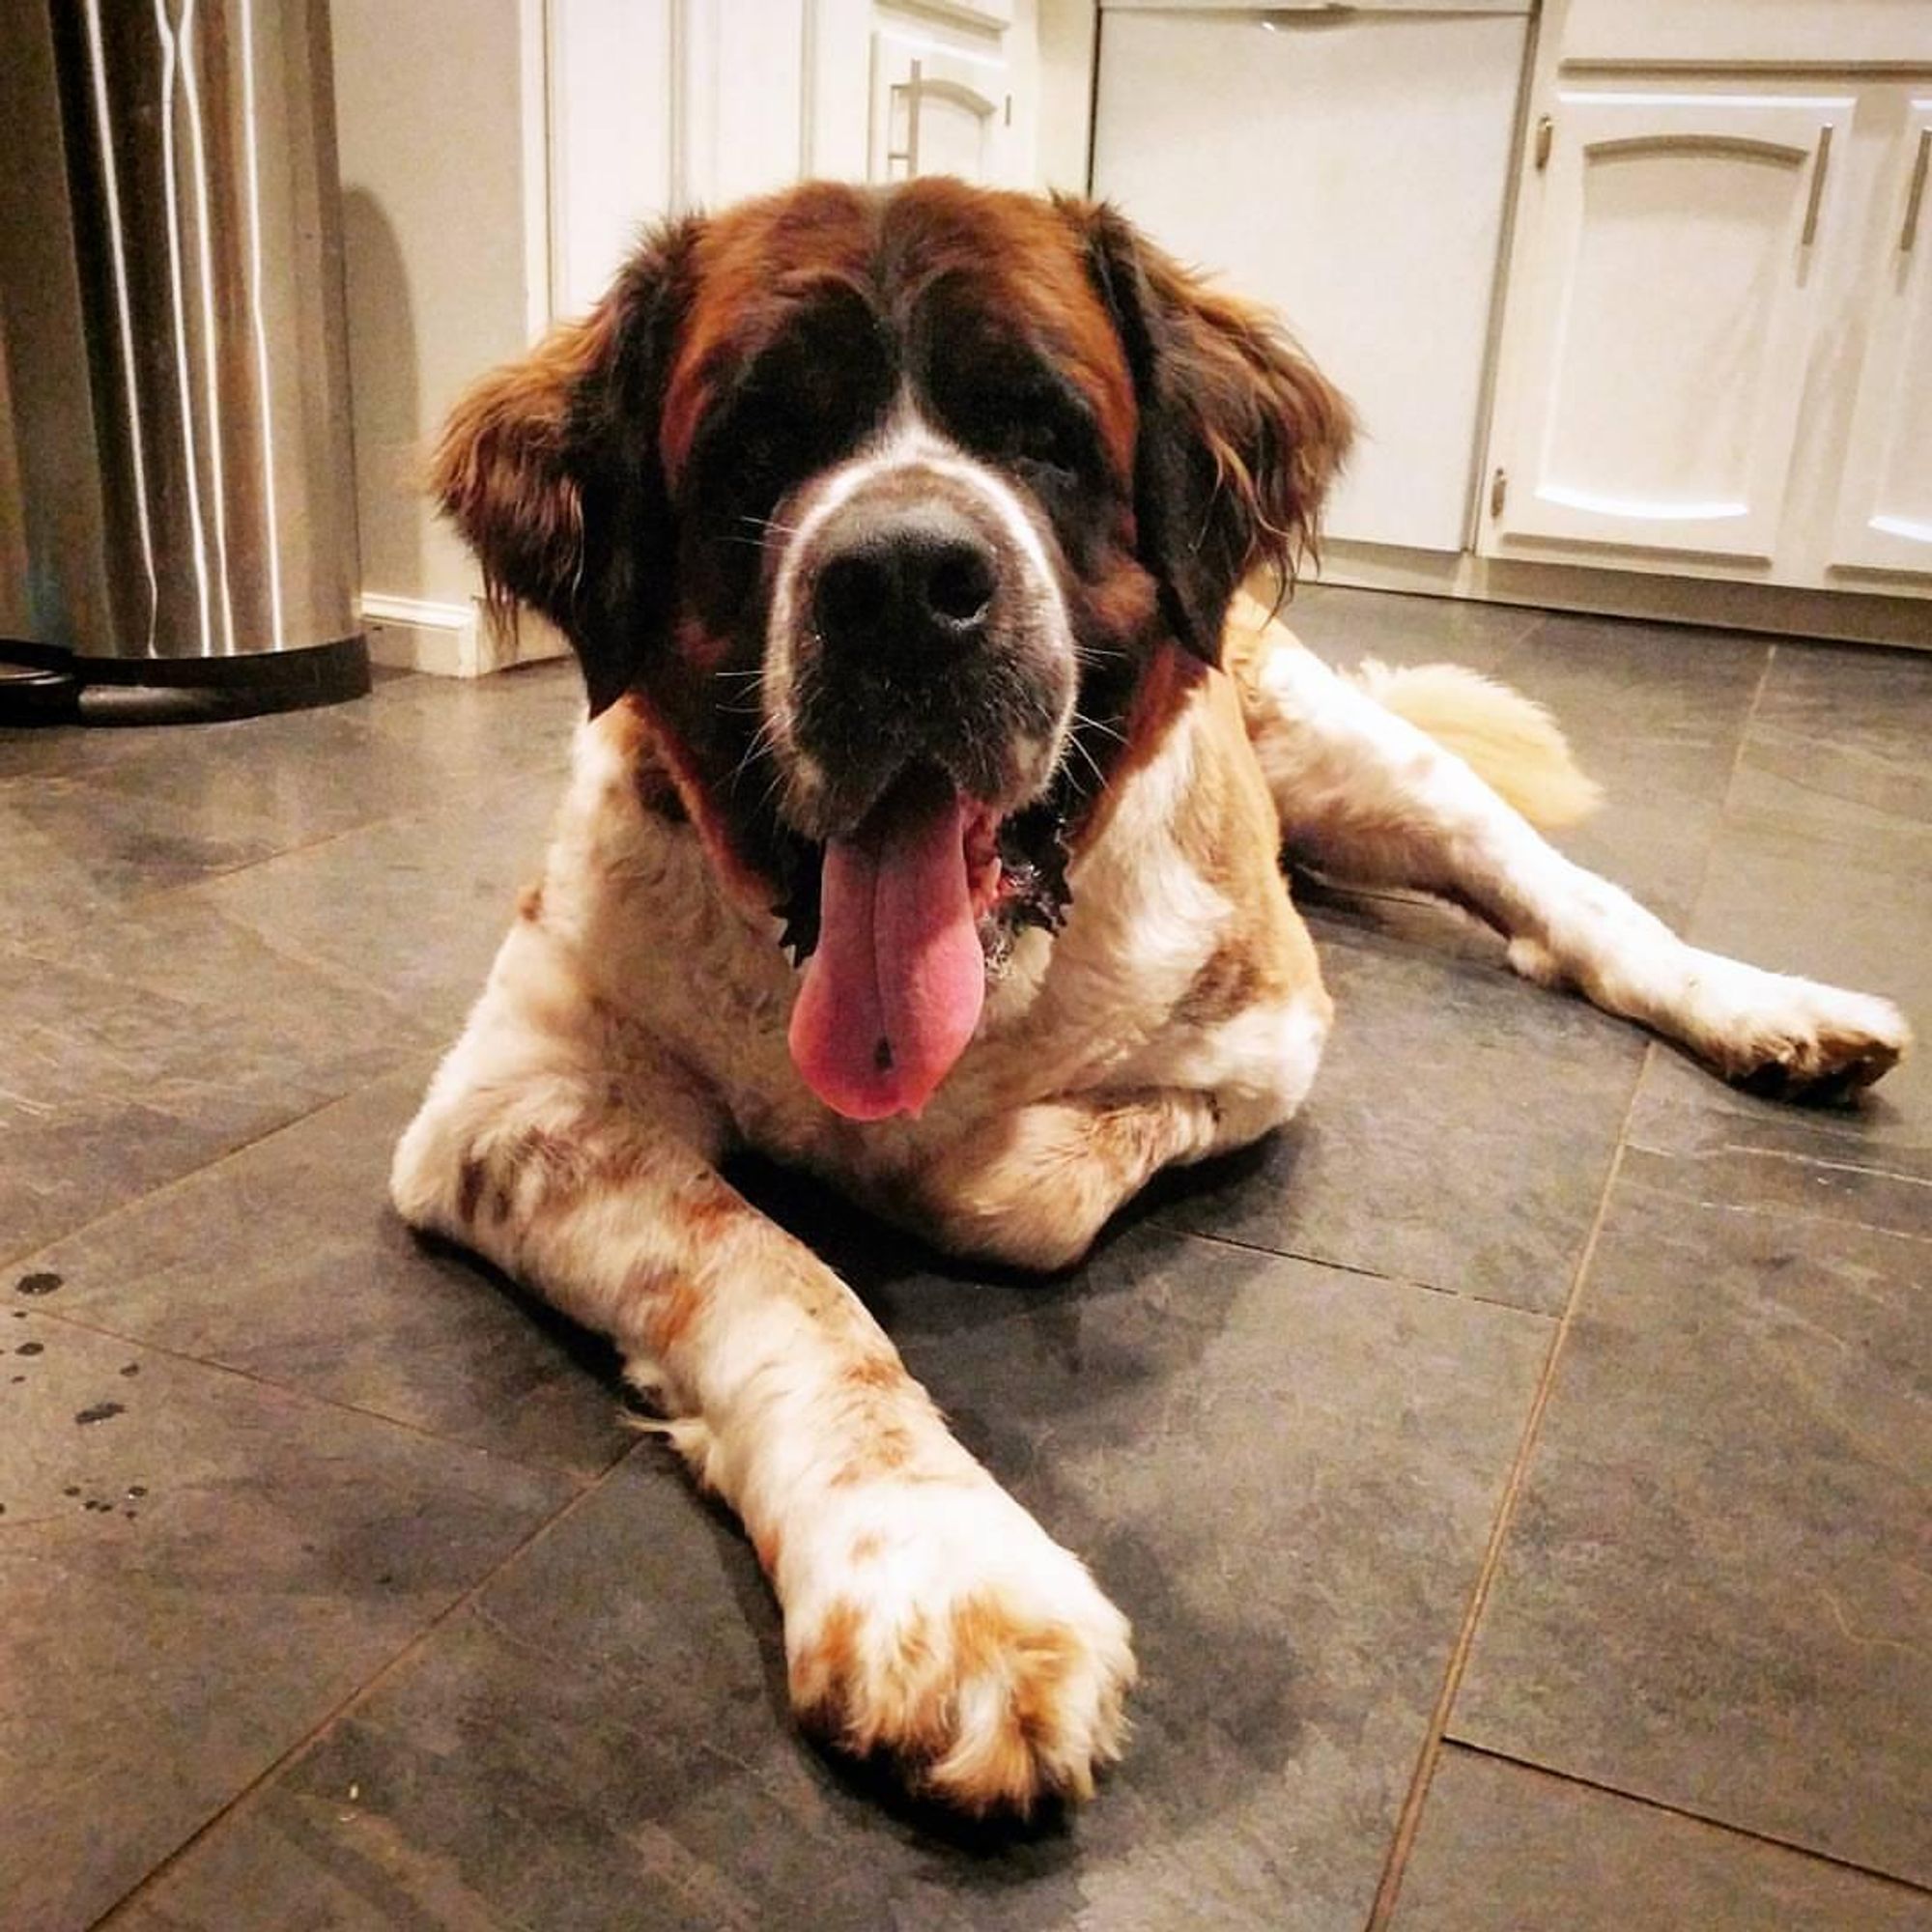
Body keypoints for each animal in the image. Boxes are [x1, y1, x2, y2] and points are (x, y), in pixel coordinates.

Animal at [384, 174, 1909, 1816]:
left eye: (1047, 434)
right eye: (757, 445)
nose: (902, 585)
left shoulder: (1268, 1035)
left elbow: (1004, 1187)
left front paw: (916, 1179)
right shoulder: (515, 1100)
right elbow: (769, 1274)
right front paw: (944, 1572)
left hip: (1367, 763)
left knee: (1563, 895)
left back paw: (1767, 1011)